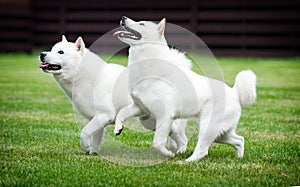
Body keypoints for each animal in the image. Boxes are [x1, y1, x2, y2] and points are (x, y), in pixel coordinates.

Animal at [38, 35, 188, 155]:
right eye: (52, 49)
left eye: (61, 52)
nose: (42, 54)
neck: (83, 76)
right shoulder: (97, 118)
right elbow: (95, 138)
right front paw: (93, 153)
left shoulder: (105, 115)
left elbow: (84, 132)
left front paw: (85, 147)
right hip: (150, 121)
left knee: (182, 137)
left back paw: (181, 151)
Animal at [113, 16, 256, 161]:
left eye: (141, 24)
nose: (123, 18)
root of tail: (235, 92)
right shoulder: (140, 107)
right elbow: (122, 112)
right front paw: (118, 128)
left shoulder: (165, 116)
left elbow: (157, 143)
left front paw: (168, 154)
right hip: (221, 133)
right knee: (239, 140)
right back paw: (239, 158)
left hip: (207, 127)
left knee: (203, 150)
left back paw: (188, 161)